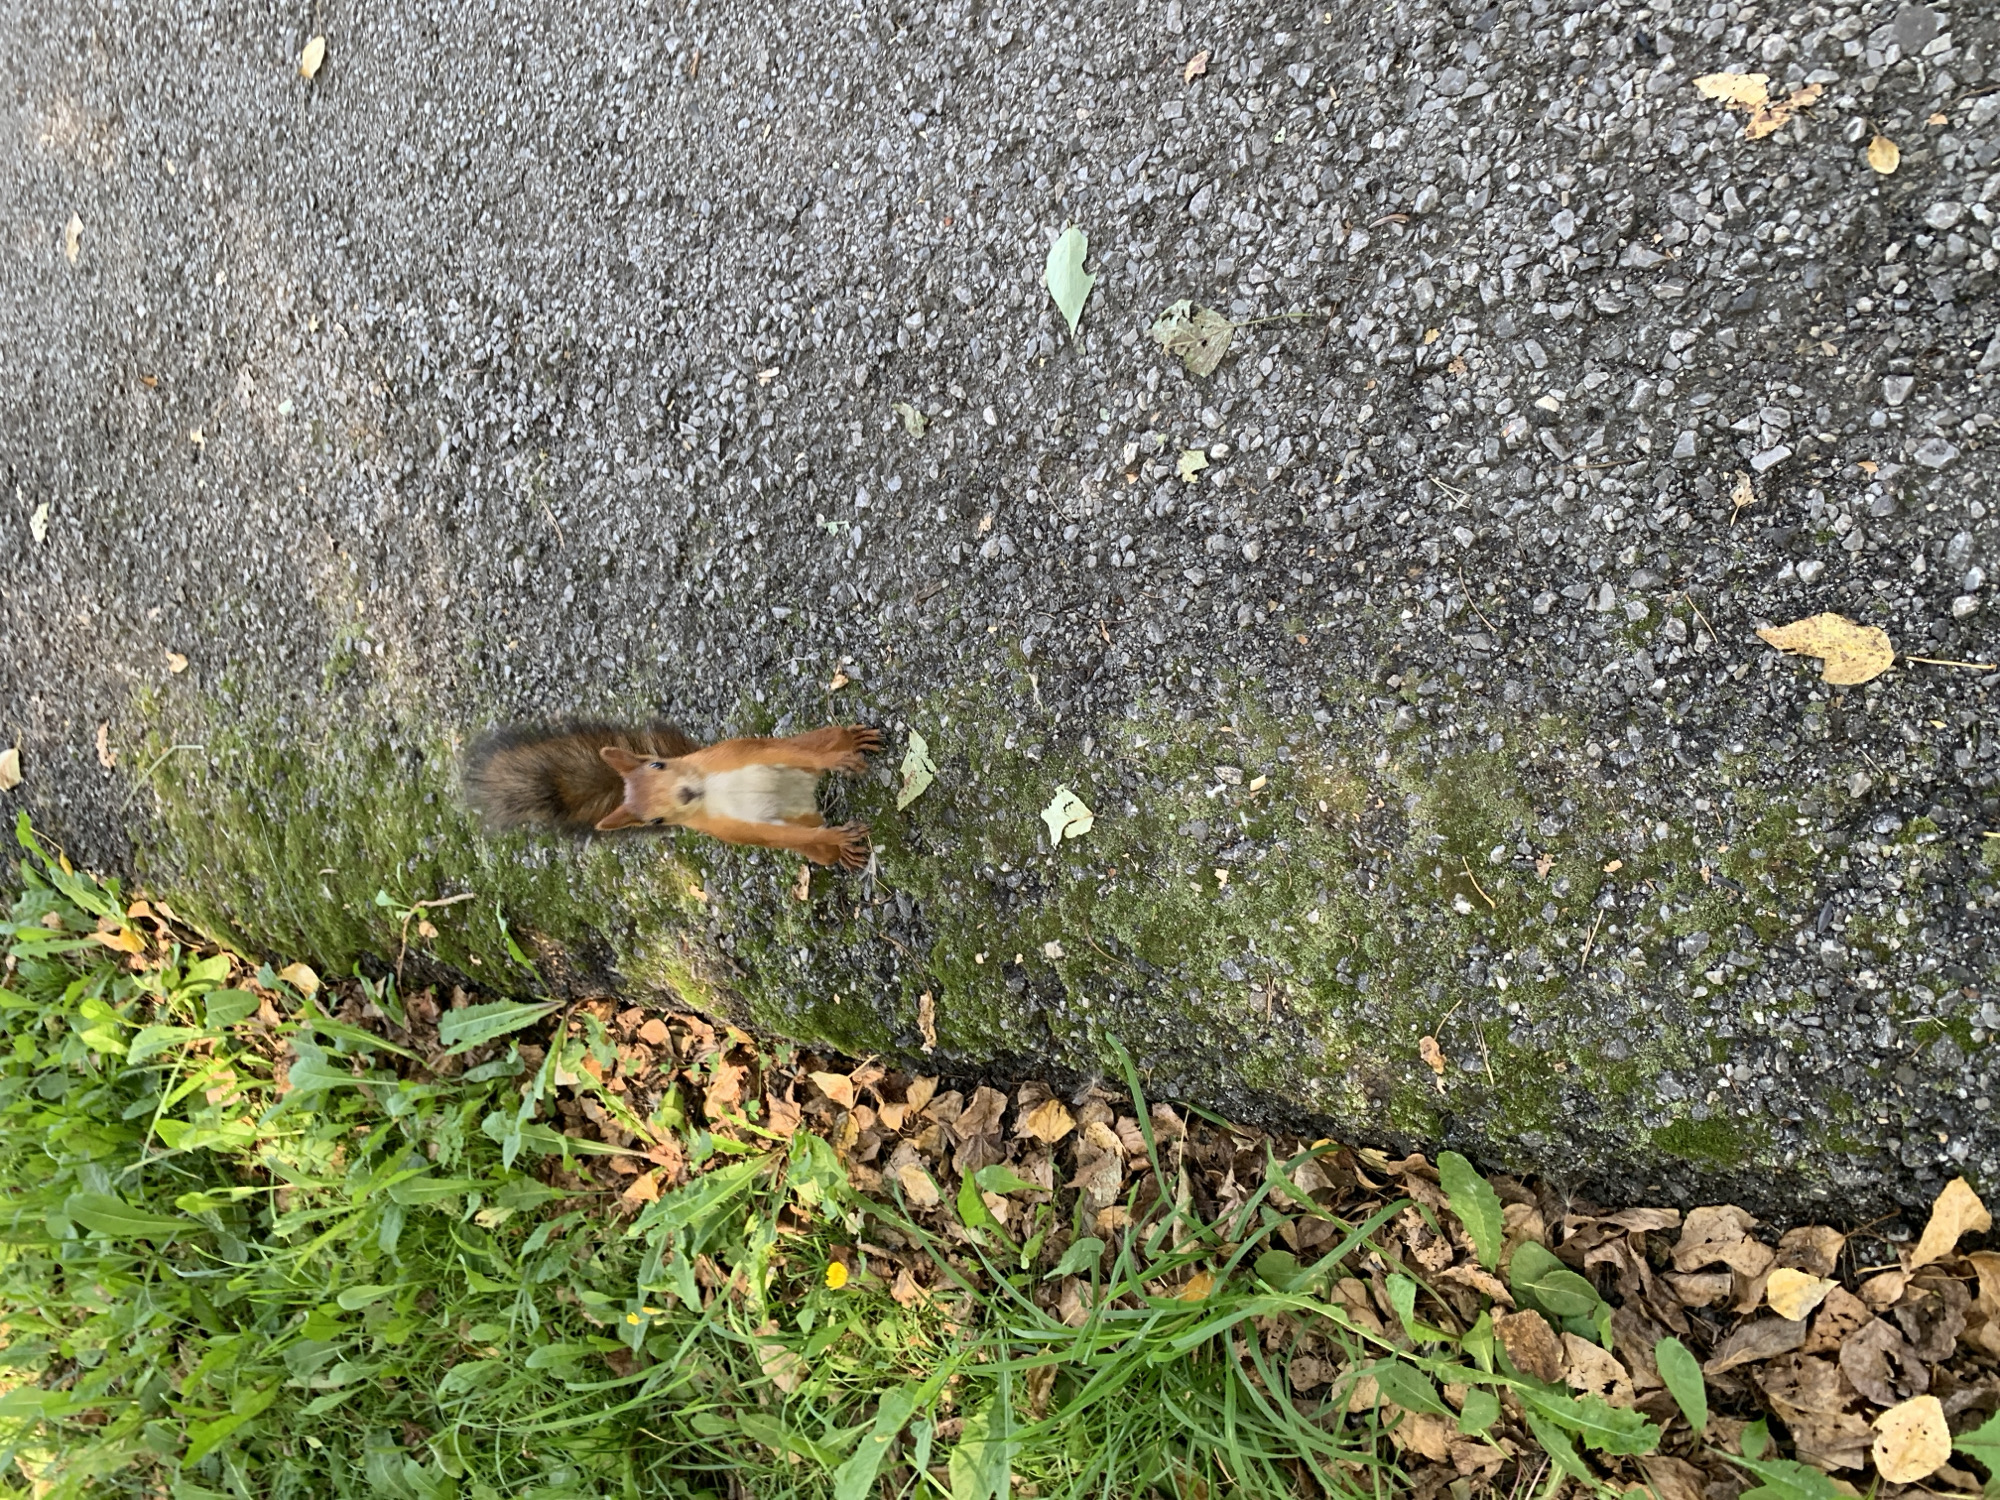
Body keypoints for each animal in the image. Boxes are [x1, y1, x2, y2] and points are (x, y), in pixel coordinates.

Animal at [465, 722, 882, 869]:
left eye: (657, 764)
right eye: (655, 820)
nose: (684, 793)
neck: (712, 791)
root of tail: (809, 796)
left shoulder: (744, 754)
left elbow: (788, 753)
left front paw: (837, 758)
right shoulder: (742, 829)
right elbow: (776, 836)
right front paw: (835, 838)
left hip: (807, 741)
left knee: (818, 742)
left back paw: (848, 742)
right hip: (807, 834)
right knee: (812, 842)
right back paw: (839, 851)